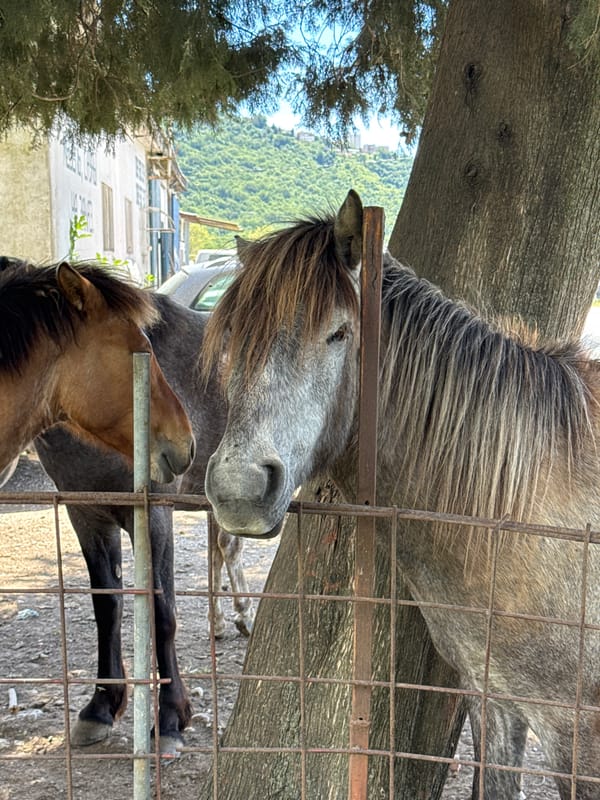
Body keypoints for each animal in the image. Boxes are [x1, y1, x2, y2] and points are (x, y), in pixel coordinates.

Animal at [31, 288, 254, 756]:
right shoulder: (86, 514)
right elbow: (107, 605)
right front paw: (100, 706)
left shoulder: (152, 513)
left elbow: (162, 609)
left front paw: (169, 718)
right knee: (224, 548)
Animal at [203, 190, 600, 799]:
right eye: (233, 338)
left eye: (339, 333)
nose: (239, 490)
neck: (524, 512)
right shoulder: (493, 700)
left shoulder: (576, 732)